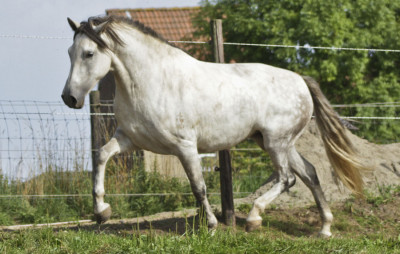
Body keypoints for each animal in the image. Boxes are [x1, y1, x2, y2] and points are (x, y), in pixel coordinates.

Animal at [63, 16, 368, 238]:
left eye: (89, 54)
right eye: (69, 52)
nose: (70, 98)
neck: (152, 81)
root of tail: (301, 80)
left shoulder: (185, 147)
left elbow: (198, 187)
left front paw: (210, 226)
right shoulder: (130, 139)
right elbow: (101, 156)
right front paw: (101, 211)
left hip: (276, 143)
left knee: (287, 178)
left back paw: (254, 219)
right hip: (275, 142)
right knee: (310, 173)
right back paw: (324, 229)